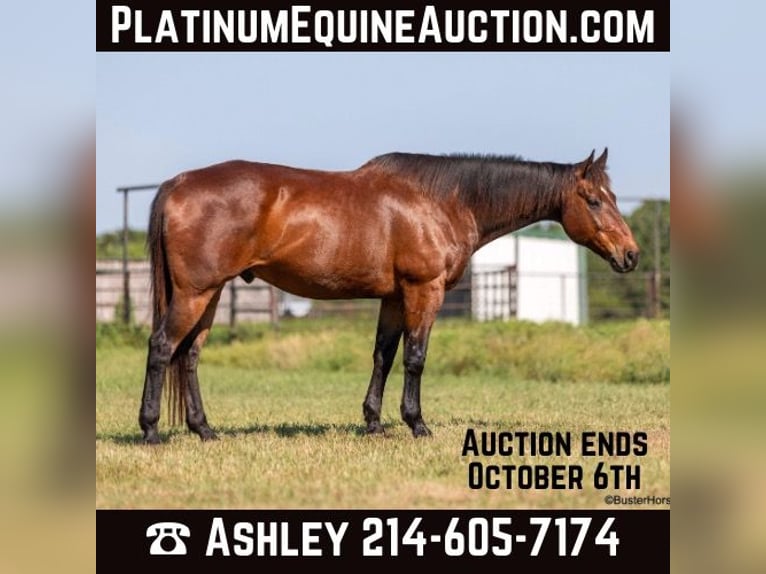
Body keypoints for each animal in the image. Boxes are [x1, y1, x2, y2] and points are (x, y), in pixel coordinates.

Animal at [139, 148, 639, 443]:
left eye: (612, 197)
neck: (443, 201)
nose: (630, 255)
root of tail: (177, 183)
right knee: (163, 347)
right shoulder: (423, 291)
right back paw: (150, 430)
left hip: (210, 294)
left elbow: (384, 355)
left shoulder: (394, 298)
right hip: (195, 293)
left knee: (189, 355)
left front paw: (374, 422)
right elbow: (415, 358)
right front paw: (417, 423)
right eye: (595, 200)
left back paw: (204, 430)